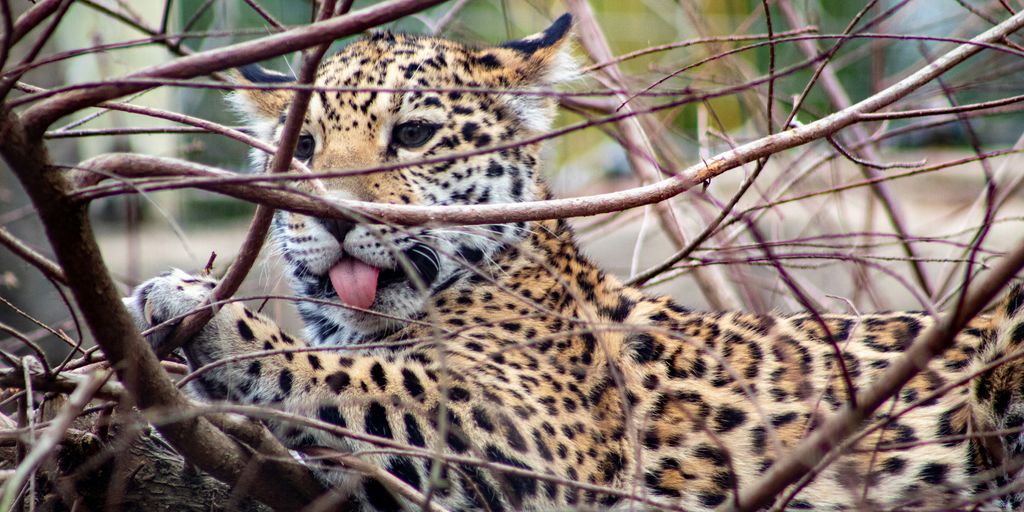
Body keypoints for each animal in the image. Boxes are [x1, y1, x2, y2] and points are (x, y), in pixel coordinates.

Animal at [123, 14, 1024, 509]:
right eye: (303, 149)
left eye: (411, 134)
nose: (333, 217)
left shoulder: (541, 436)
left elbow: (363, 377)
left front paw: (198, 307)